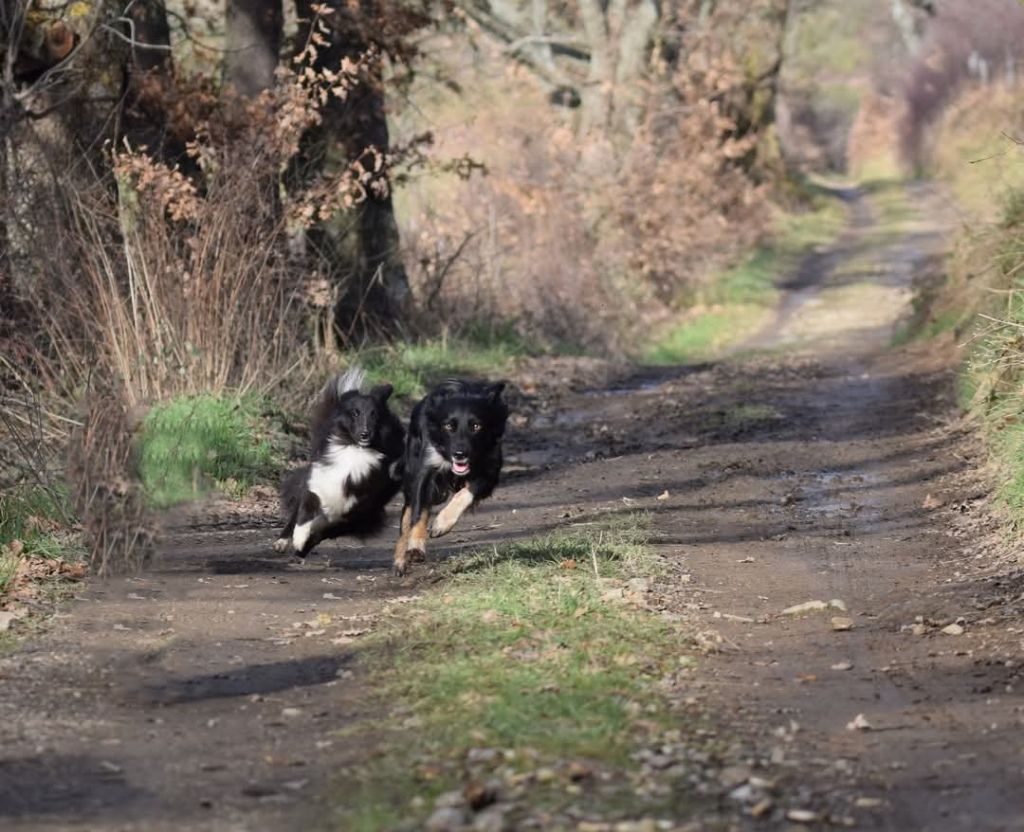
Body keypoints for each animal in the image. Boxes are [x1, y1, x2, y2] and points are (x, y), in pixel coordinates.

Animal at [276, 368, 403, 557]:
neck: (354, 449)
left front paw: (304, 544)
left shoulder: (356, 507)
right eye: (356, 412)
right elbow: (305, 511)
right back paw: (283, 541)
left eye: (374, 415)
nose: (365, 434)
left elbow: (324, 526)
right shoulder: (319, 480)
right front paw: (298, 538)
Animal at [391, 381, 507, 573]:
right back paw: (401, 558)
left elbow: (466, 493)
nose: (460, 454)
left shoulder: (490, 468)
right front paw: (415, 547)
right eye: (448, 426)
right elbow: (418, 513)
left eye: (476, 426)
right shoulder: (427, 466)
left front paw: (442, 523)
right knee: (407, 514)